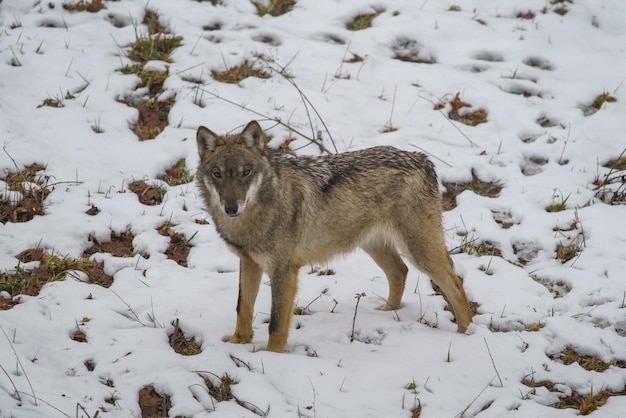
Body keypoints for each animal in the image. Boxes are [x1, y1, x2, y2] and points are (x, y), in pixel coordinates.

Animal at [195, 120, 472, 352]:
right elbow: (242, 306)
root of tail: (421, 159)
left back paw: (467, 333)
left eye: (246, 172)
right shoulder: (249, 262)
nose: (231, 208)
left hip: (418, 252)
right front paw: (238, 342)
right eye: (217, 174)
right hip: (375, 246)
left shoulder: (284, 270)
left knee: (455, 283)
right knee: (400, 272)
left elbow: (276, 323)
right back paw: (387, 313)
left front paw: (271, 357)